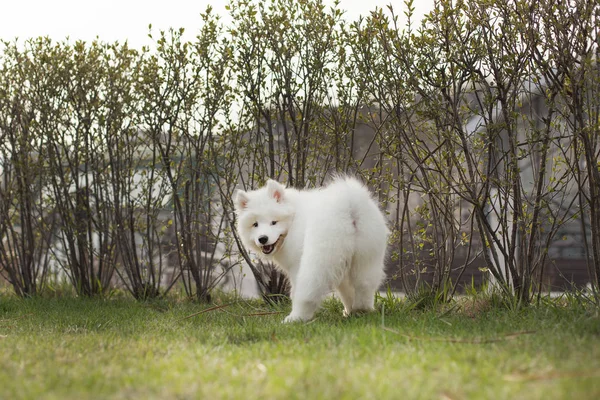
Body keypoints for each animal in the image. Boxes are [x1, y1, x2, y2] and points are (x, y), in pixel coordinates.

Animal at [232, 177, 386, 322]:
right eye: (255, 224)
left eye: (274, 222)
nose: (263, 239)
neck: (293, 219)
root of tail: (349, 207)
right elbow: (347, 291)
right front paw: (350, 311)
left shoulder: (296, 267)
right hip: (367, 258)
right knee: (364, 286)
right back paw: (361, 310)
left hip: (317, 261)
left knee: (308, 293)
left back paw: (295, 318)